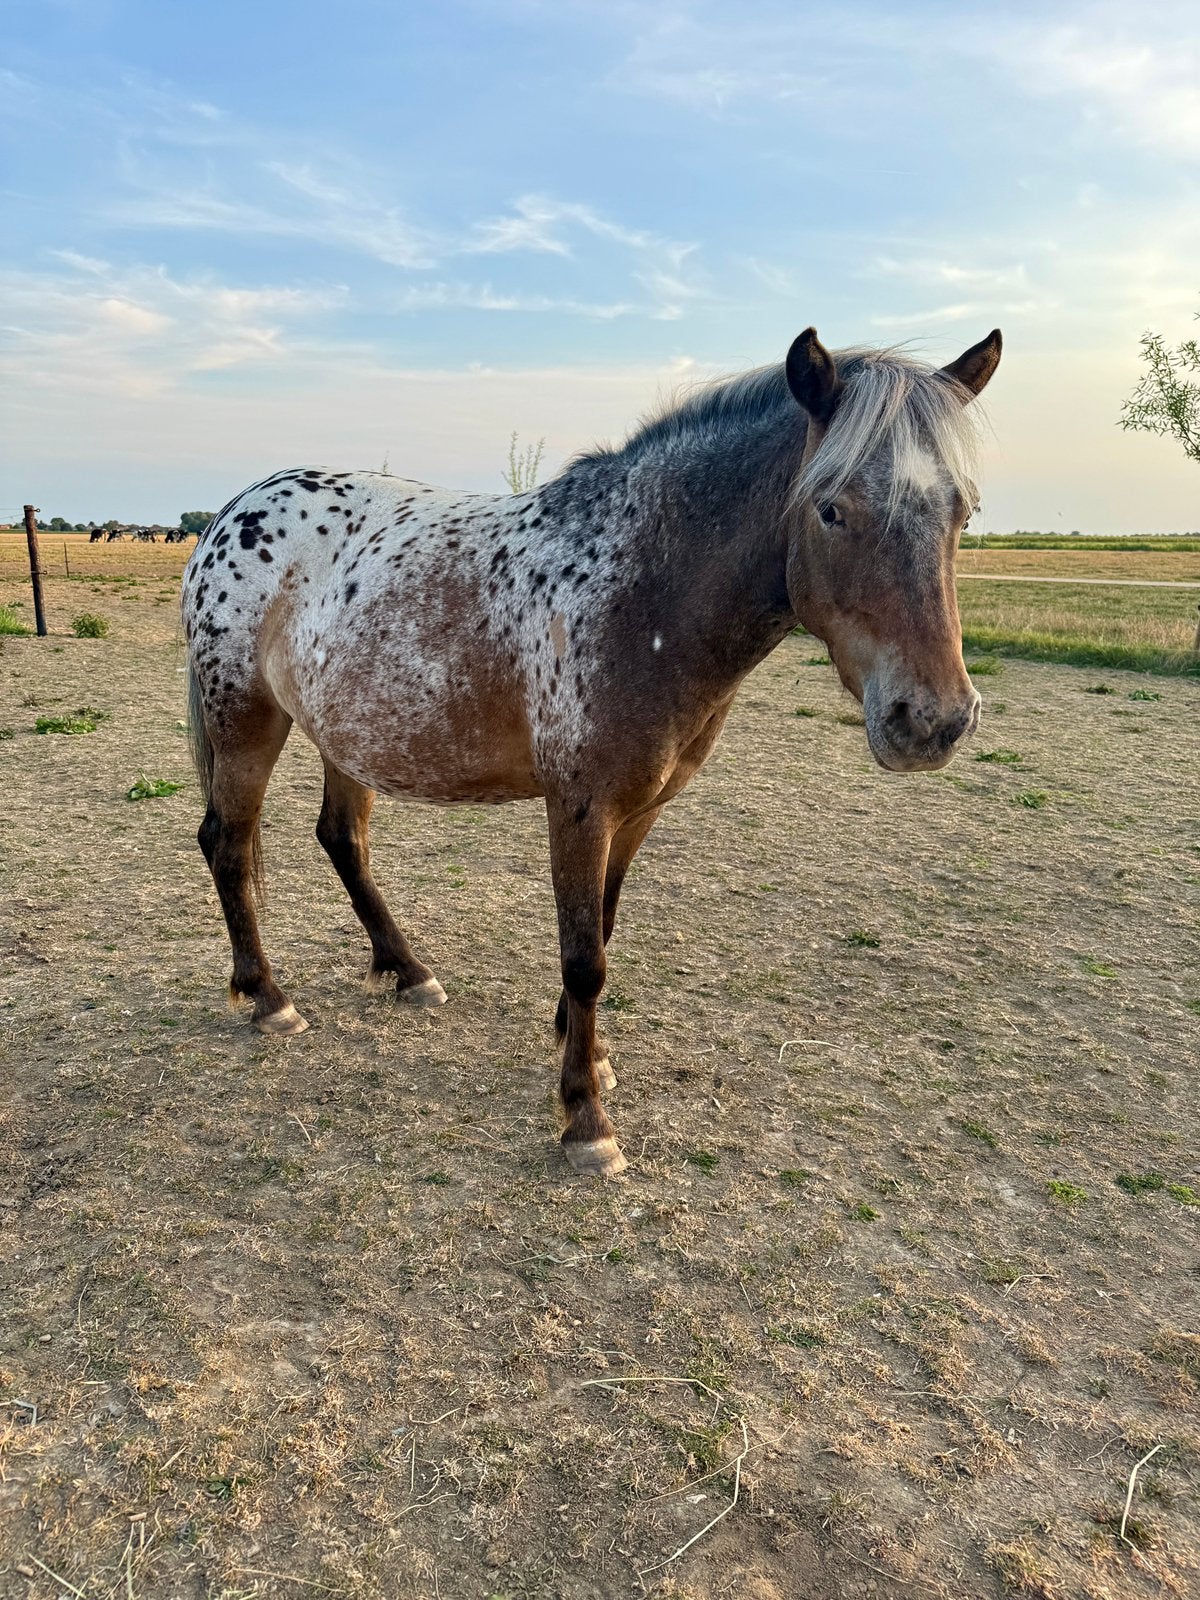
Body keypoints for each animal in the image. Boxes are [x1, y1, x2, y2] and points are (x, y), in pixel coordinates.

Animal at [182, 327, 1001, 1178]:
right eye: (832, 508)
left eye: (964, 510)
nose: (933, 721)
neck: (638, 588)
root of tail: (231, 514)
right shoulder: (578, 808)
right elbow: (584, 958)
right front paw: (585, 1118)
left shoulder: (639, 810)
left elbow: (600, 929)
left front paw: (588, 1055)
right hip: (247, 720)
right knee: (228, 844)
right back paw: (269, 998)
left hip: (346, 734)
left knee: (341, 839)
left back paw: (408, 971)